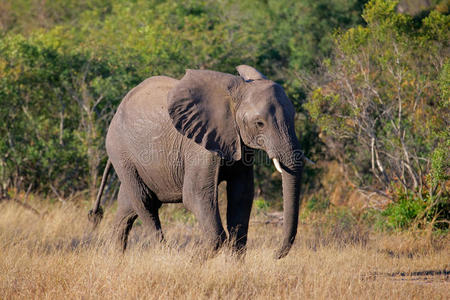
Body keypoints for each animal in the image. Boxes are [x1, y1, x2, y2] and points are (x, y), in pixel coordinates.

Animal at [89, 65, 306, 258]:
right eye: (260, 123)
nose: (275, 255)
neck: (236, 91)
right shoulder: (199, 147)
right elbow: (195, 195)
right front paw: (191, 263)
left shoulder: (238, 142)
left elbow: (242, 195)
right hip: (120, 152)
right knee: (145, 202)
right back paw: (165, 255)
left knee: (127, 208)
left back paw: (116, 258)